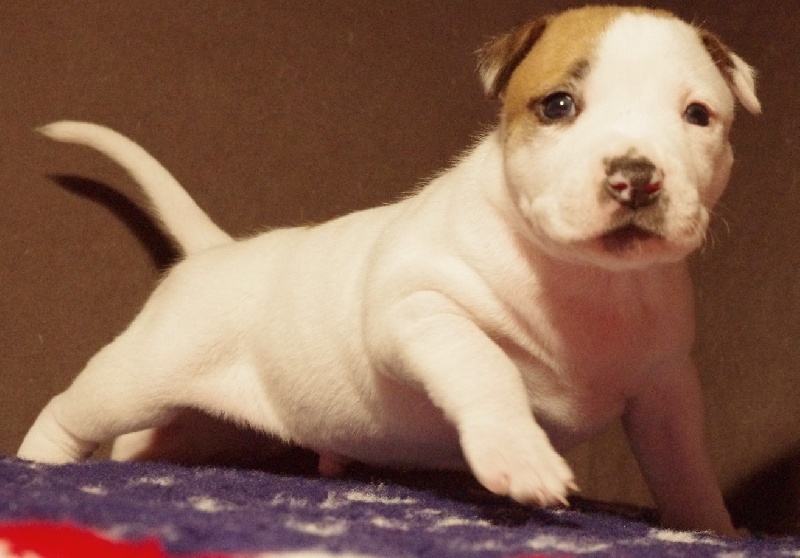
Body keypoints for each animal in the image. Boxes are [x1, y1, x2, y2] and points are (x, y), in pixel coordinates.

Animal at [18, 6, 760, 535]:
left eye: (698, 115)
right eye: (558, 105)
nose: (636, 177)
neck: (587, 281)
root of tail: (214, 252)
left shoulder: (664, 386)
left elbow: (683, 463)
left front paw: (713, 529)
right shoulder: (418, 309)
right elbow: (484, 365)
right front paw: (518, 454)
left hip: (200, 418)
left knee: (142, 444)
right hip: (140, 372)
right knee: (76, 410)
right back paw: (38, 462)